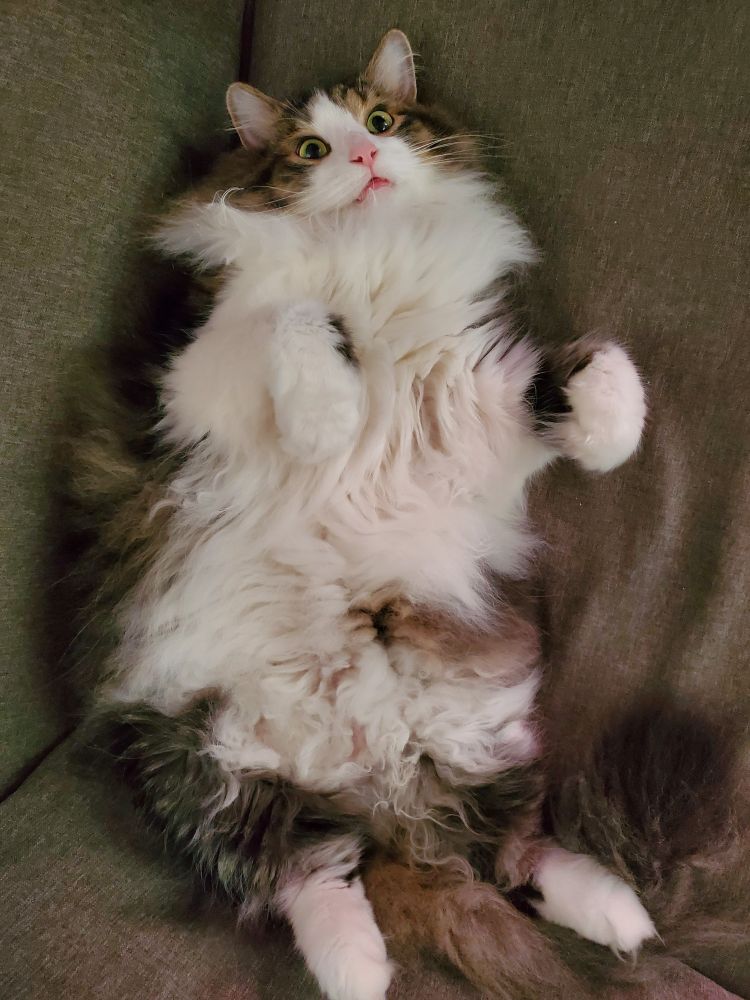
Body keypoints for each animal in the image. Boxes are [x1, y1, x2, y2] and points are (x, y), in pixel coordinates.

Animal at [63, 29, 740, 1000]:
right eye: (312, 148)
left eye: (382, 121)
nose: (364, 157)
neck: (371, 260)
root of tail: (374, 787)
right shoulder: (191, 374)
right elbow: (294, 317)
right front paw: (326, 415)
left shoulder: (477, 395)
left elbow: (599, 366)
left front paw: (612, 434)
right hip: (196, 764)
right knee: (308, 872)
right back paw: (361, 969)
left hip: (483, 732)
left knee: (510, 851)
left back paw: (619, 915)